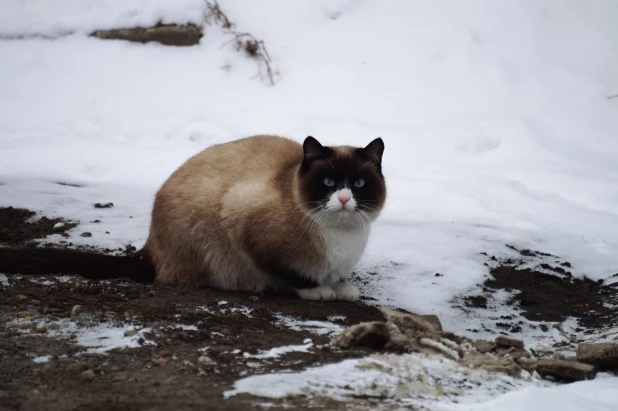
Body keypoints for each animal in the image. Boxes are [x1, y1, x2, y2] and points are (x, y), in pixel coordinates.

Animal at [0, 137, 384, 300]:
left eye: (359, 184)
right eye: (329, 183)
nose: (345, 199)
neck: (343, 238)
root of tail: (151, 245)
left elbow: (339, 277)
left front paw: (342, 287)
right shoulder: (245, 225)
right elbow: (292, 274)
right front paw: (319, 291)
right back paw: (255, 286)